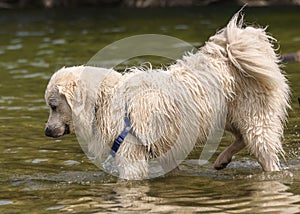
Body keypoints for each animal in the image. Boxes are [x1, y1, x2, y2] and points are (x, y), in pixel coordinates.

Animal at [45, 11, 290, 179]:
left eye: (53, 106)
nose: (46, 132)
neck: (103, 100)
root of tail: (232, 50)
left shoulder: (131, 156)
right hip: (226, 116)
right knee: (242, 137)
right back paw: (222, 160)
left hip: (255, 120)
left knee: (262, 149)